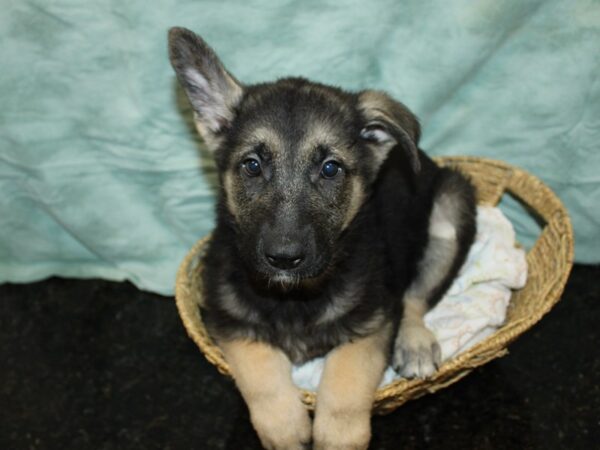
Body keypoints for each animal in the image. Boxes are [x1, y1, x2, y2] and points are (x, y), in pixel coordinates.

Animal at [170, 27, 478, 450]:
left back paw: (414, 342)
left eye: (330, 169)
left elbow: (345, 384)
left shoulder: (373, 322)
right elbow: (260, 369)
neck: (294, 297)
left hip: (452, 201)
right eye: (252, 166)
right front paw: (285, 426)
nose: (284, 258)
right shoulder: (226, 321)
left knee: (416, 298)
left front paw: (336, 432)